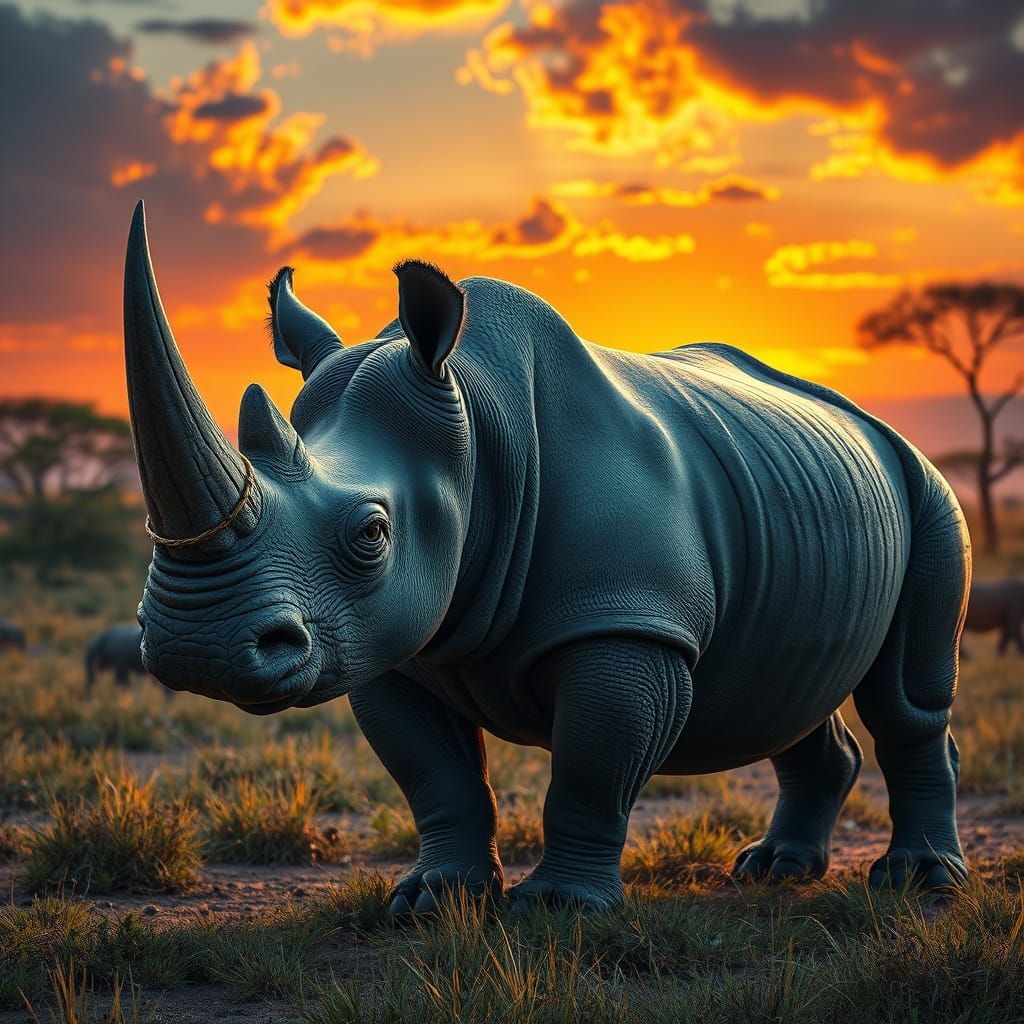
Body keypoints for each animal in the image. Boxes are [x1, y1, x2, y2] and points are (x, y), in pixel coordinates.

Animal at [124, 201, 969, 912]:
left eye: (371, 534)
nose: (196, 649)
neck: (478, 428)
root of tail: (866, 418)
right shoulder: (388, 641)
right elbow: (436, 776)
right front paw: (434, 900)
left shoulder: (626, 623)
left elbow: (593, 766)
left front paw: (559, 909)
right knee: (780, 688)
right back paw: (776, 870)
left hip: (928, 490)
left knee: (904, 698)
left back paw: (919, 882)